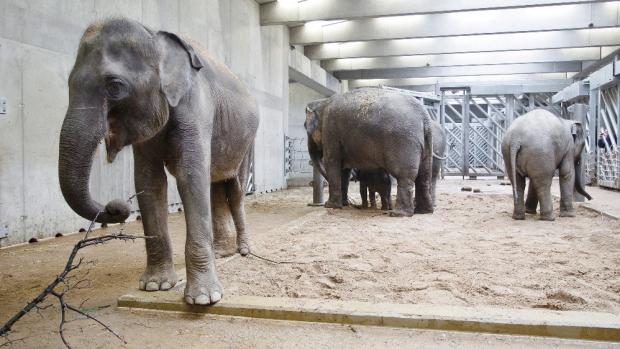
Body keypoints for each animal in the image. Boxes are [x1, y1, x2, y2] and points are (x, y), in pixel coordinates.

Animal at [58, 18, 260, 304]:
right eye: (69, 84)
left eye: (115, 86)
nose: (116, 207)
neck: (154, 36)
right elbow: (148, 181)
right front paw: (155, 286)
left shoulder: (196, 104)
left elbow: (190, 176)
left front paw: (204, 299)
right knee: (216, 187)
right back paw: (222, 253)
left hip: (247, 142)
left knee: (235, 189)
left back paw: (242, 251)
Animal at [304, 87, 432, 215]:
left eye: (305, 126)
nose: (350, 202)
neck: (323, 102)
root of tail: (424, 117)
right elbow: (344, 170)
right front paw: (344, 204)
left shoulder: (330, 130)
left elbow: (332, 162)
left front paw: (330, 206)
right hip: (424, 144)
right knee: (424, 176)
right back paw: (424, 211)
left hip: (404, 142)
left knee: (404, 176)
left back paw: (398, 214)